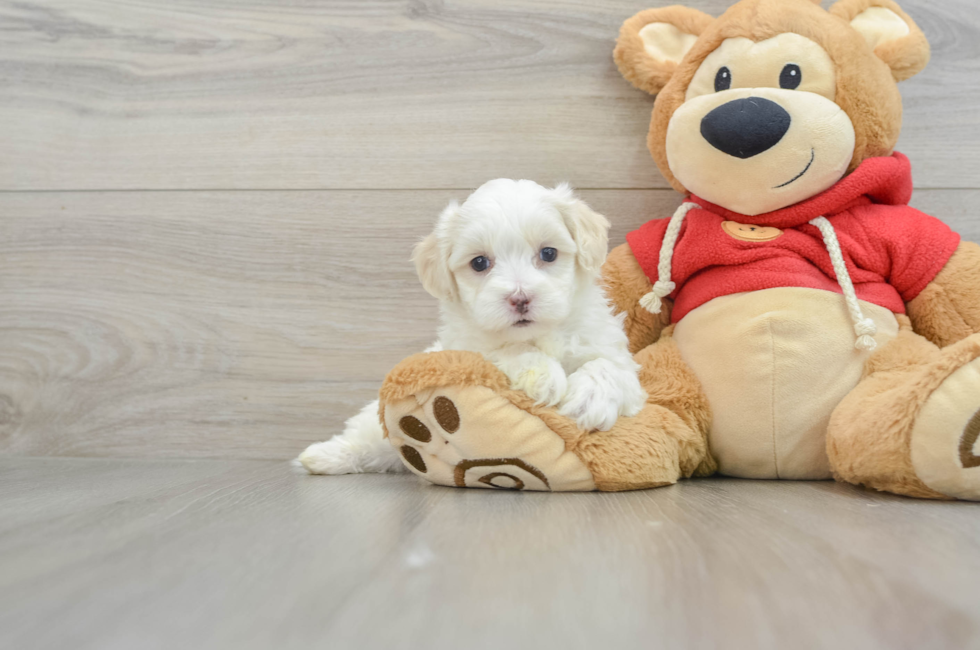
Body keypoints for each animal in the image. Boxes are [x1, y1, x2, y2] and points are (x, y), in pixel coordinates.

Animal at [300, 180, 652, 474]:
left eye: (549, 253)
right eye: (479, 263)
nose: (520, 298)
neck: (539, 335)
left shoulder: (614, 354)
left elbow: (608, 366)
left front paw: (589, 398)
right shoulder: (467, 349)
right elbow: (504, 350)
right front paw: (541, 375)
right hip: (371, 429)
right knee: (364, 436)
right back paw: (322, 457)